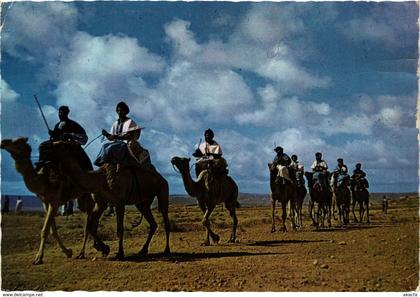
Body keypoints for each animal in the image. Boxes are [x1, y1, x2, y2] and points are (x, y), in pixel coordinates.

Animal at [0, 136, 94, 264]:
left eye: (18, 141)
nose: (3, 142)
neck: (44, 181)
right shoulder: (45, 202)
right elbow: (52, 230)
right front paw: (68, 252)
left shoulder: (55, 201)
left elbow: (45, 230)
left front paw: (38, 258)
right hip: (81, 197)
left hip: (88, 193)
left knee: (88, 221)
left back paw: (82, 253)